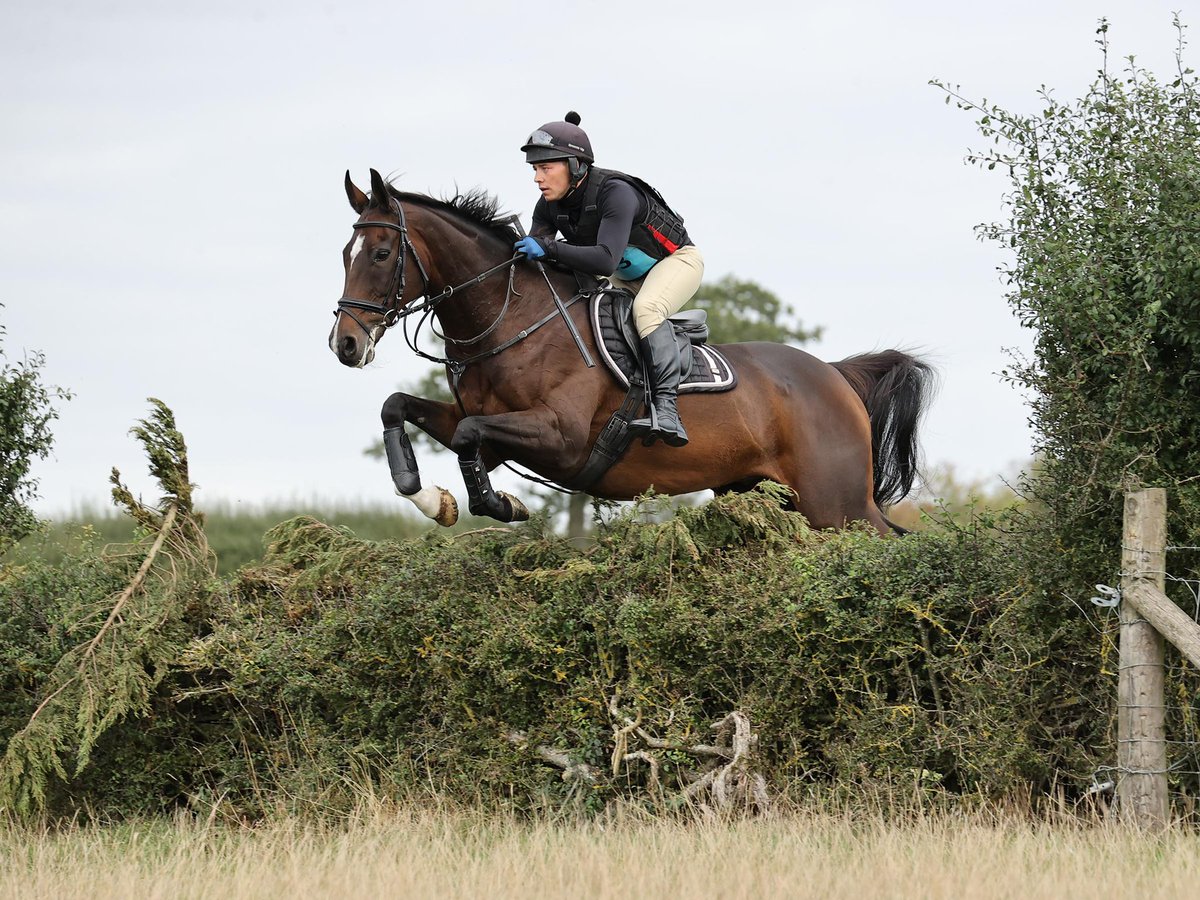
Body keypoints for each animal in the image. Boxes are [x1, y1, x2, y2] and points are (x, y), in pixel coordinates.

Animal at [330, 169, 933, 534]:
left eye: (381, 253)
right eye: (344, 253)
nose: (345, 344)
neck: (512, 322)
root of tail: (834, 375)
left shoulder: (560, 435)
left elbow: (467, 437)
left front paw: (502, 505)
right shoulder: (490, 432)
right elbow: (401, 409)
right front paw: (433, 500)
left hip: (837, 504)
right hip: (766, 493)